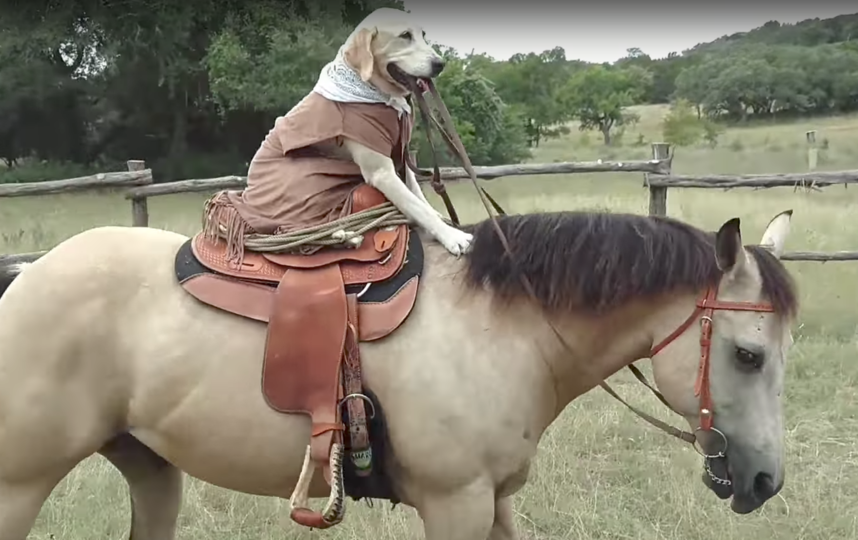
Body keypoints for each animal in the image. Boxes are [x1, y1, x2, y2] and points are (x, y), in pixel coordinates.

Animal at [0, 201, 796, 536]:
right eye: (747, 354)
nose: (766, 481)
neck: (502, 327)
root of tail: (28, 276)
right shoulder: (455, 503)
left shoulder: (492, 502)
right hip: (19, 486)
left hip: (152, 472)